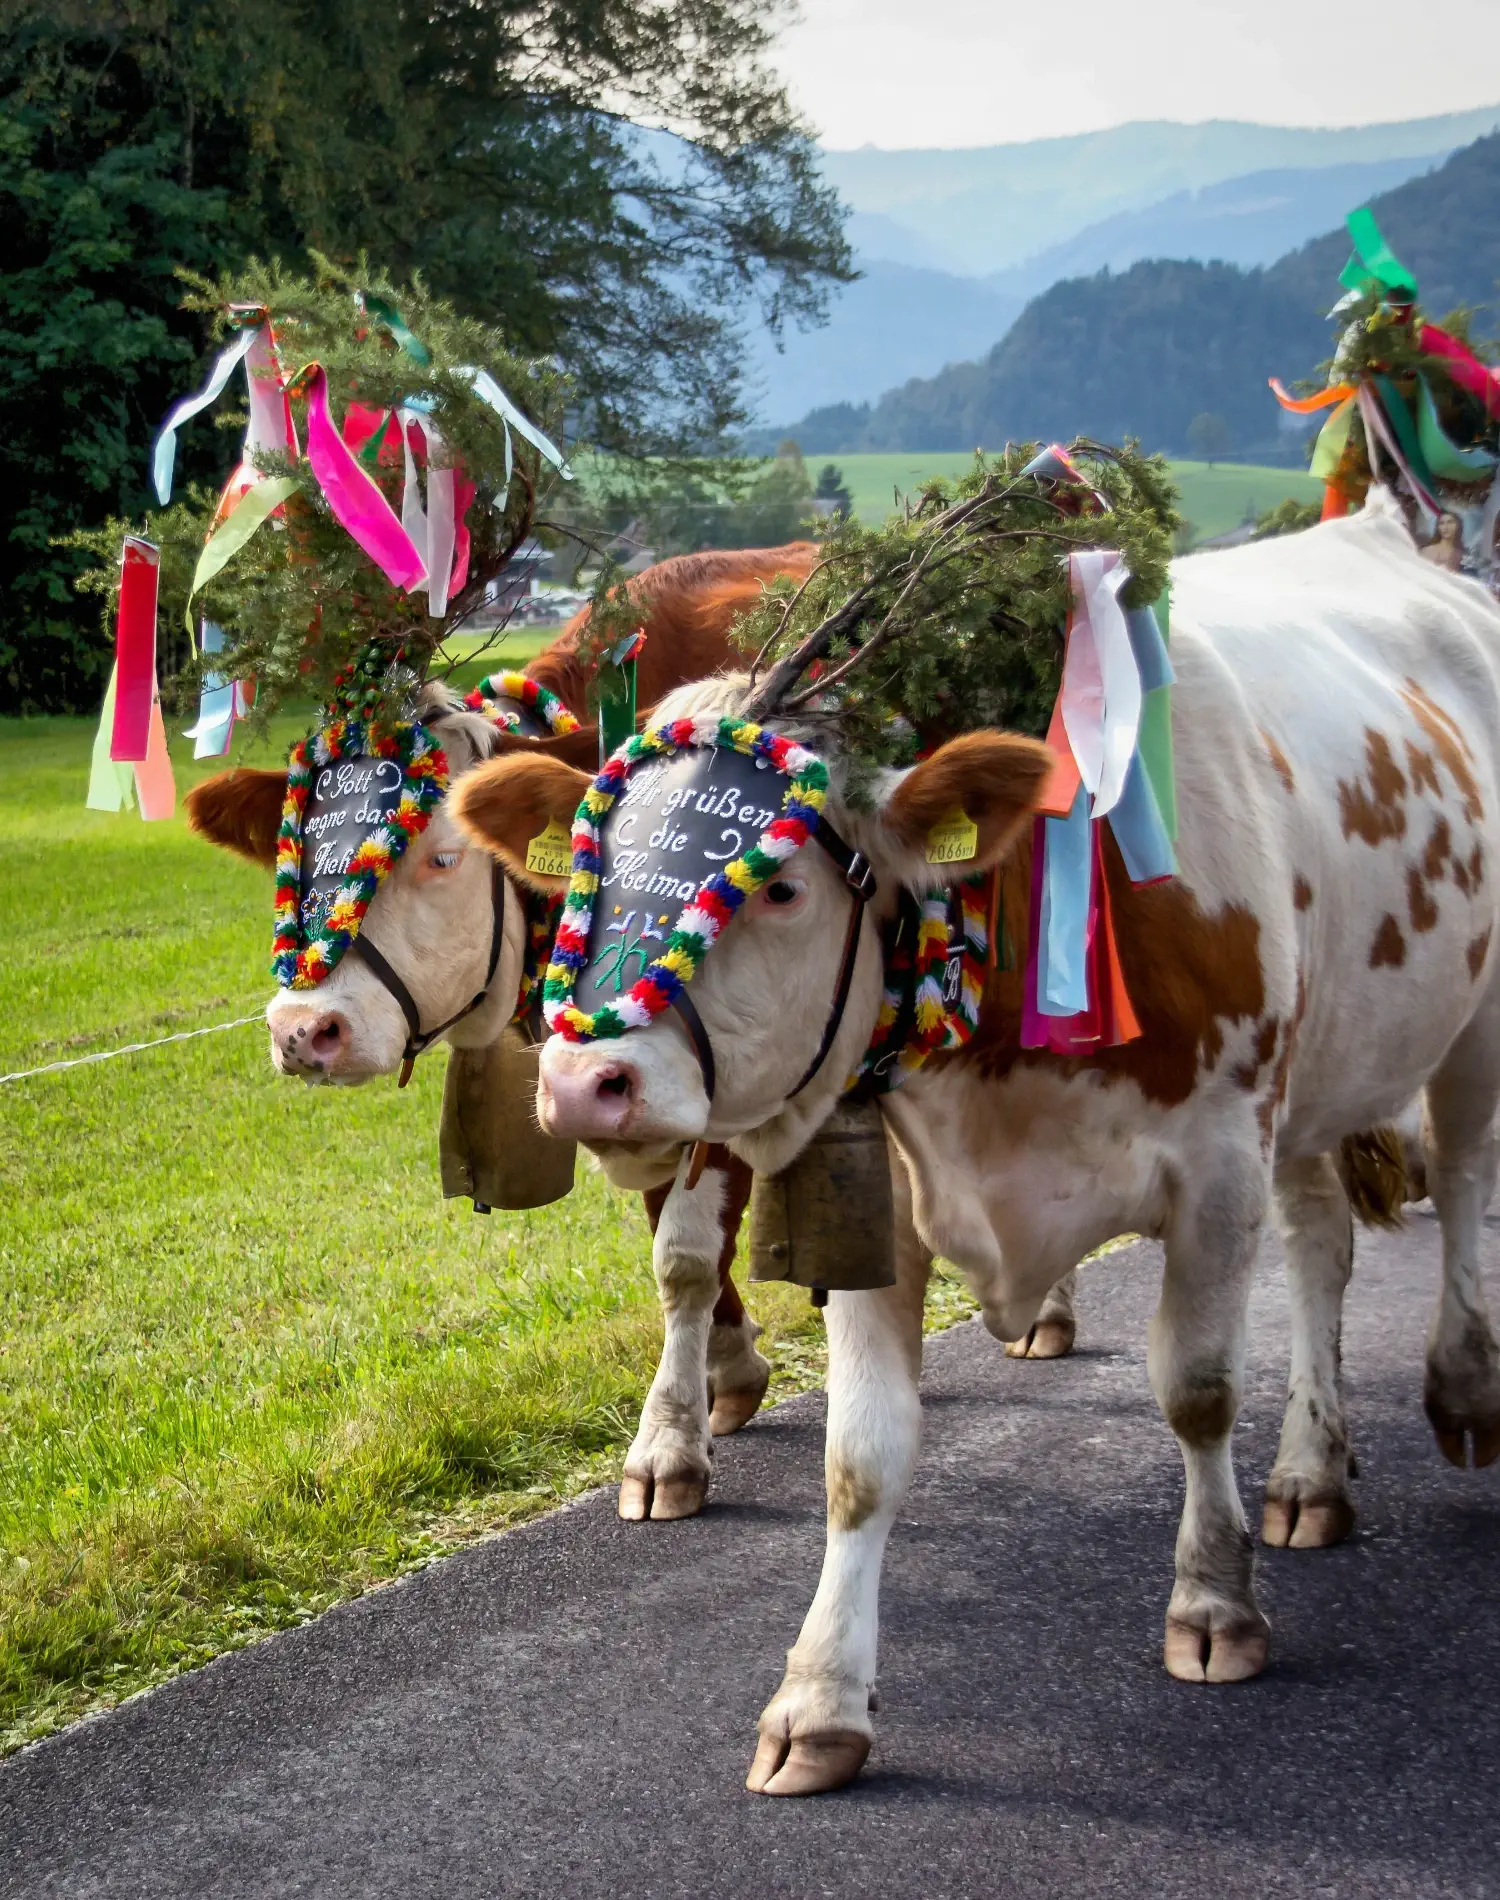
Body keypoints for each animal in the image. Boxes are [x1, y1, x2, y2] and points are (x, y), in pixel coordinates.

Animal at [453, 490, 1500, 1793]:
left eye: (779, 883)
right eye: (591, 863)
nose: (586, 1083)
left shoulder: (1216, 1167)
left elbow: (1200, 1391)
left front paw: (1213, 1604)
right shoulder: (886, 1206)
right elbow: (861, 1455)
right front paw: (820, 1697)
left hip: (1467, 1027)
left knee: (1464, 1183)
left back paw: (1464, 1388)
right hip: (1318, 1076)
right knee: (1322, 1247)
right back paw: (1311, 1470)